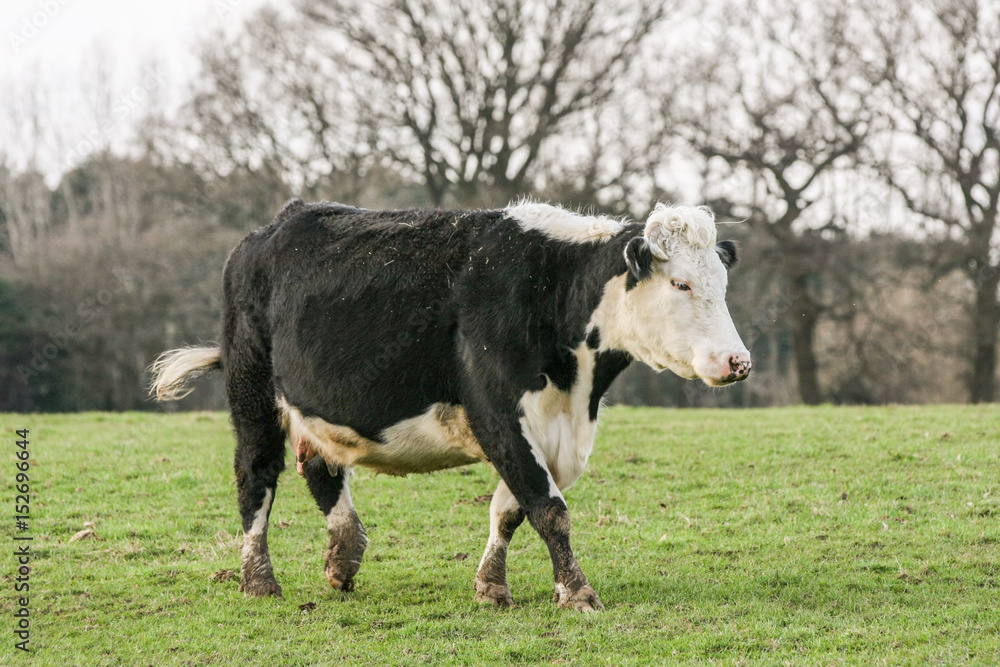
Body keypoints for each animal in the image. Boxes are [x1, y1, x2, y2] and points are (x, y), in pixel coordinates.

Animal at [150, 201, 752, 612]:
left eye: (722, 285)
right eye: (680, 284)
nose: (738, 361)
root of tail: (275, 226)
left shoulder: (550, 430)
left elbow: (510, 508)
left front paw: (491, 586)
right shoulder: (497, 415)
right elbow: (548, 508)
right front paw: (578, 592)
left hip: (318, 407)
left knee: (322, 470)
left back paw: (344, 556)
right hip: (251, 392)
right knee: (256, 475)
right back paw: (259, 580)